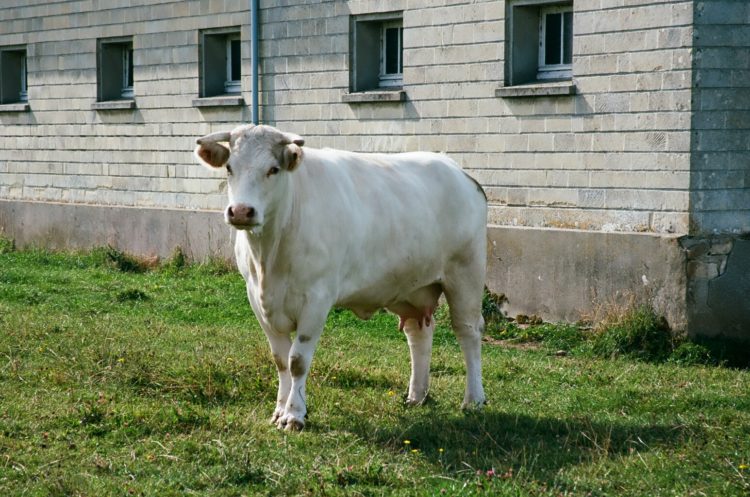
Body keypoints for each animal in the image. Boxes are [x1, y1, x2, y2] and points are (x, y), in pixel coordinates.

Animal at [195, 125, 488, 430]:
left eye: (273, 169)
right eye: (229, 167)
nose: (241, 211)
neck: (269, 259)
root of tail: (457, 170)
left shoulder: (317, 298)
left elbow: (297, 360)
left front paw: (294, 415)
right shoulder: (256, 298)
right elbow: (280, 360)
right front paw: (278, 410)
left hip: (466, 272)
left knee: (468, 330)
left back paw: (474, 399)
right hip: (409, 285)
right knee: (418, 333)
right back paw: (416, 395)